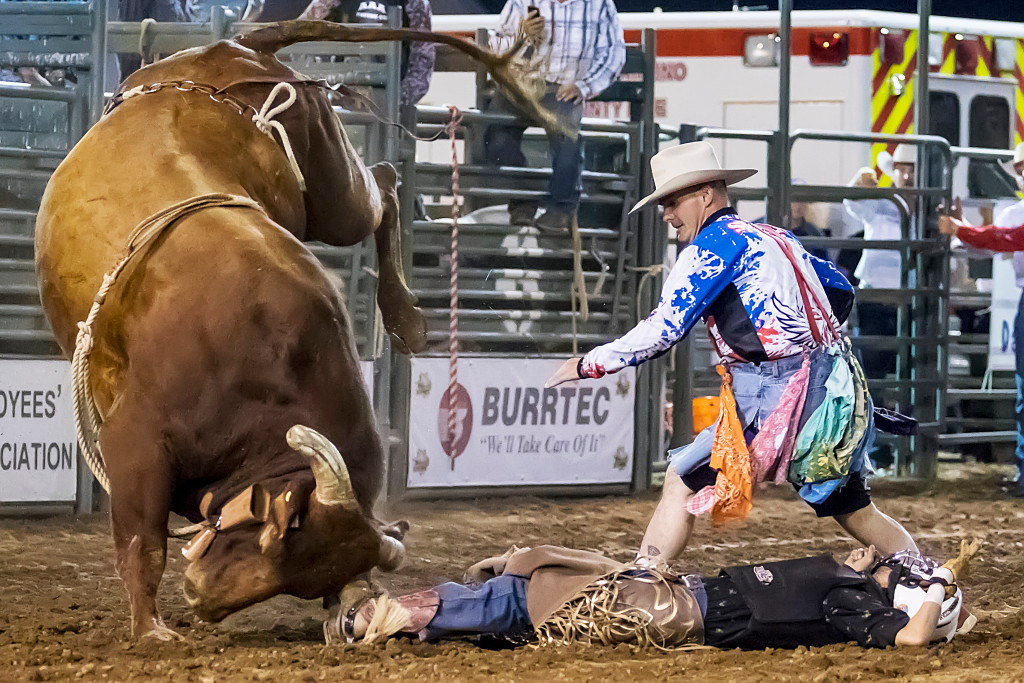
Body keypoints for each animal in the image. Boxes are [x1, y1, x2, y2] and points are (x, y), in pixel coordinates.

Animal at [34, 21, 551, 640]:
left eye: (295, 579)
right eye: (273, 539)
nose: (203, 600)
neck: (263, 379)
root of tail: (243, 48)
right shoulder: (135, 441)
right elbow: (144, 543)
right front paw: (151, 629)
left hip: (324, 172)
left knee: (383, 187)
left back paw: (406, 317)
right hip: (330, 179)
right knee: (382, 185)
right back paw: (408, 317)